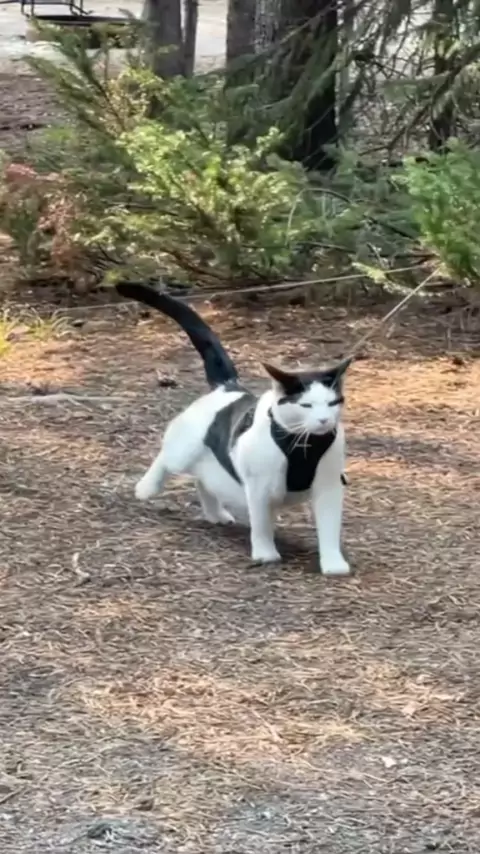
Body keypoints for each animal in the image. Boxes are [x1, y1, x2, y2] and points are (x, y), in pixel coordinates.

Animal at [116, 282, 352, 575]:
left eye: (332, 403)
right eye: (306, 405)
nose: (323, 420)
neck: (304, 443)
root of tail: (228, 386)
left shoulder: (329, 484)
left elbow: (329, 527)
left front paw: (333, 563)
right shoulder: (259, 487)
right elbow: (261, 524)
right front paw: (265, 553)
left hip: (215, 468)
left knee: (203, 481)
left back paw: (216, 514)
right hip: (183, 449)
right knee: (166, 457)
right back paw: (146, 487)